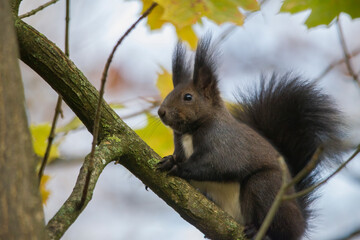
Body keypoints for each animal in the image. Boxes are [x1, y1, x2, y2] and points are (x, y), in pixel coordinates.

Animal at [156, 35, 342, 240]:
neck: (189, 132)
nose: (161, 112)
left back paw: (257, 229)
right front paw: (169, 160)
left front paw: (177, 166)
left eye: (188, 97)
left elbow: (217, 165)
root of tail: (300, 224)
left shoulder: (225, 143)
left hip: (265, 187)